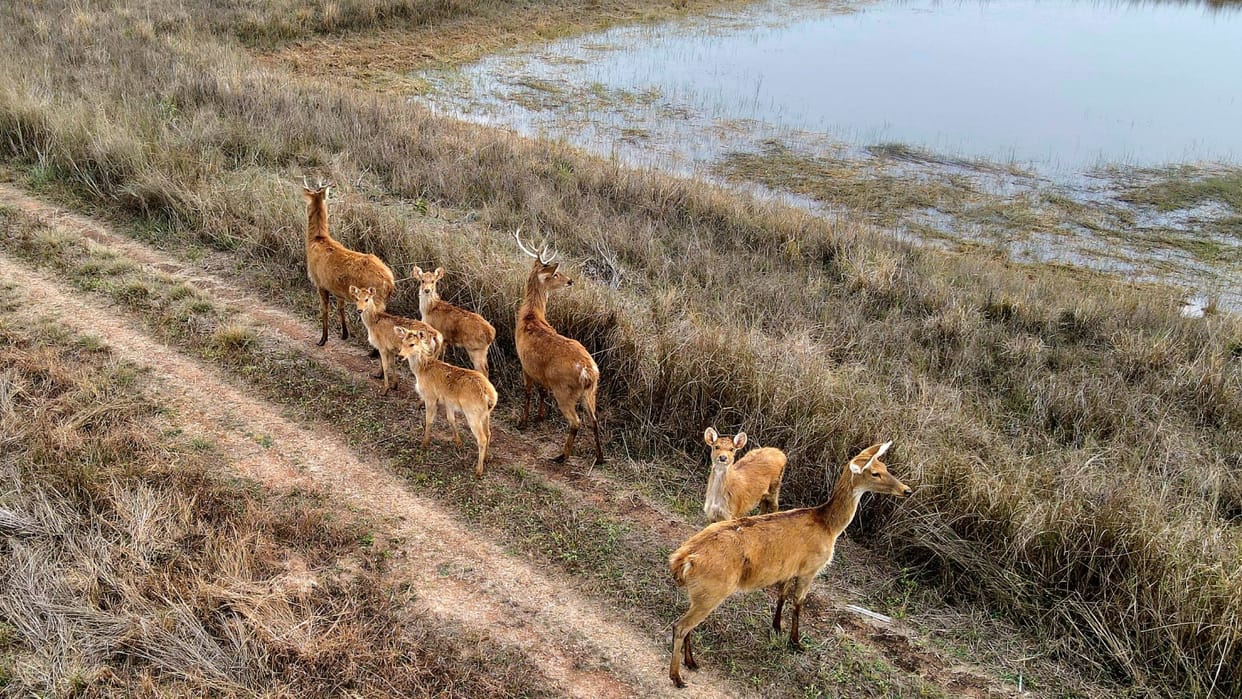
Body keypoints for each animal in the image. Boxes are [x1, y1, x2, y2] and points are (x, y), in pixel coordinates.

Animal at [302, 179, 395, 351]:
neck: (317, 240)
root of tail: (390, 282)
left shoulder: (320, 283)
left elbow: (324, 310)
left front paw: (322, 339)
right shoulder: (338, 289)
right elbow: (341, 308)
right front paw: (344, 334)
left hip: (375, 299)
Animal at [394, 326, 498, 478]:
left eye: (412, 344)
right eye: (402, 342)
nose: (400, 356)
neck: (422, 369)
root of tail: (490, 396)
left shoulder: (430, 397)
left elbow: (429, 420)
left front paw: (424, 444)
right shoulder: (448, 401)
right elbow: (451, 419)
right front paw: (458, 442)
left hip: (472, 413)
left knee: (482, 438)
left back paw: (478, 470)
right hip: (485, 414)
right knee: (489, 433)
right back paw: (487, 458)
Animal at [512, 229, 604, 466]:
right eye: (555, 274)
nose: (570, 280)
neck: (530, 316)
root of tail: (588, 373)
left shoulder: (525, 363)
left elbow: (527, 392)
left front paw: (523, 422)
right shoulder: (540, 372)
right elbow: (541, 391)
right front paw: (540, 416)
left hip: (564, 390)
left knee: (576, 421)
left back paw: (562, 456)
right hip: (591, 392)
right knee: (594, 420)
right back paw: (600, 458)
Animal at [667, 441, 912, 688]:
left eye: (885, 466)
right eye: (875, 472)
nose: (906, 490)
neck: (828, 526)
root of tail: (683, 559)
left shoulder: (789, 568)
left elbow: (782, 593)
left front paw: (776, 627)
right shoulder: (810, 569)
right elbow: (798, 602)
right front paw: (795, 642)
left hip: (701, 594)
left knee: (687, 624)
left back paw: (691, 662)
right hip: (712, 592)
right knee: (680, 626)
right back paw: (677, 677)